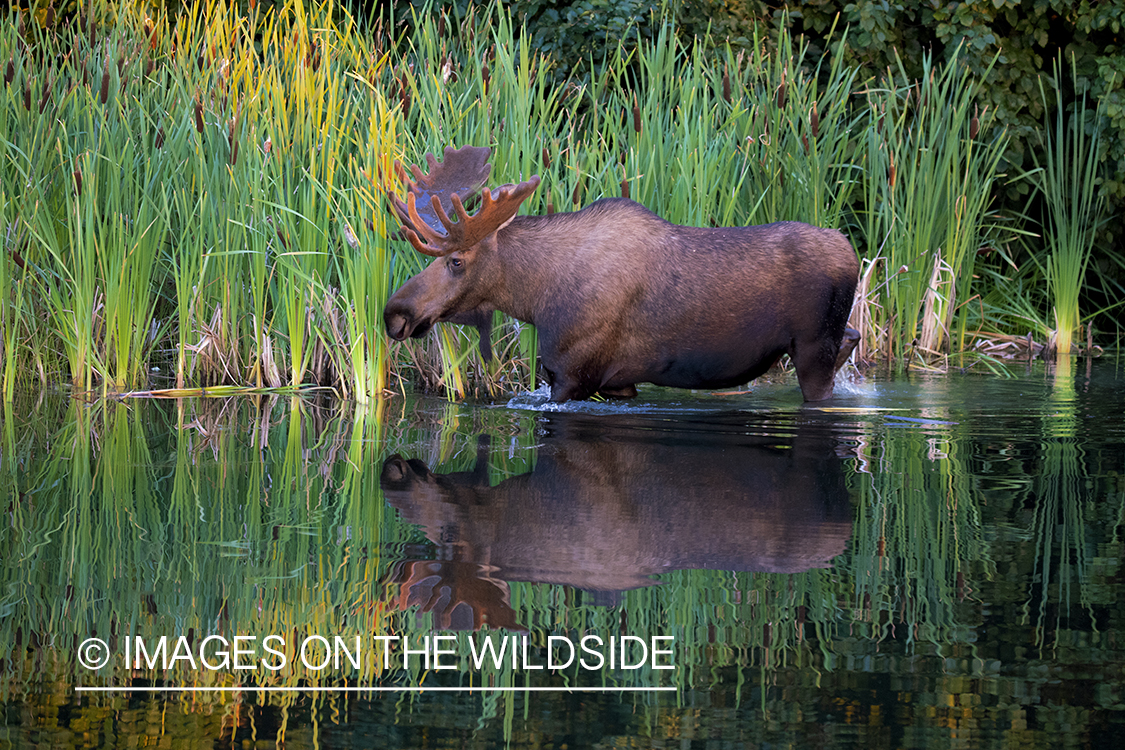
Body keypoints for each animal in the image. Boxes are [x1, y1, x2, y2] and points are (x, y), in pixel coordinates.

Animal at [387, 147, 859, 404]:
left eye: (456, 261)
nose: (395, 313)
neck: (536, 299)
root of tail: (853, 253)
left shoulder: (570, 375)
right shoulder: (618, 383)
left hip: (812, 347)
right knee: (852, 336)